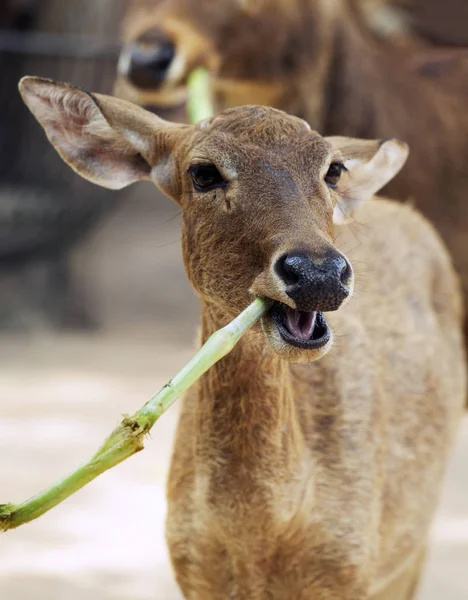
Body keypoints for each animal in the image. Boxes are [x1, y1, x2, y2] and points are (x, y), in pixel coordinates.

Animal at [18, 76, 464, 600]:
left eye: (333, 169)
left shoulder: (353, 567)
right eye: (203, 173)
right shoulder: (192, 571)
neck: (262, 532)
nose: (318, 273)